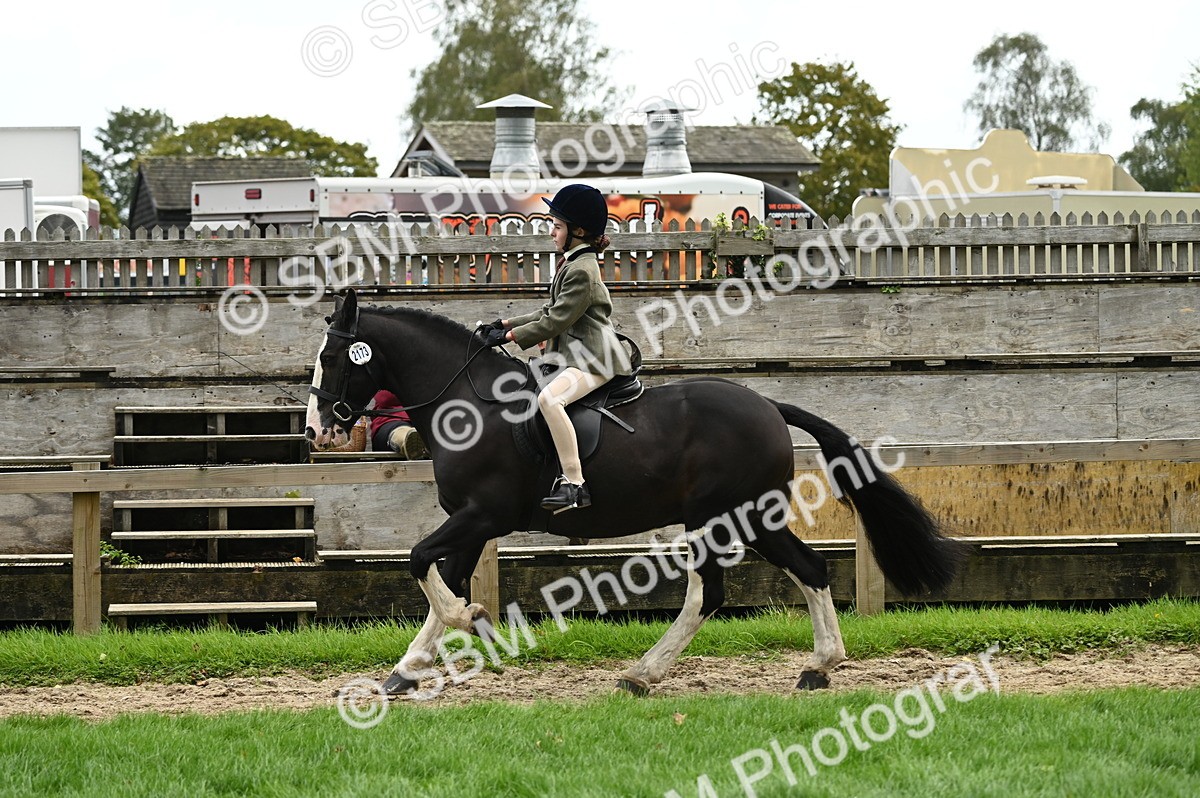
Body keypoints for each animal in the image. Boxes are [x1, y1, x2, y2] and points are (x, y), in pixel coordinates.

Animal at [306, 289, 963, 696]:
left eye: (335, 357)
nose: (315, 431)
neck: (471, 403)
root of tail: (769, 407)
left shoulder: (482, 515)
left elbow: (424, 565)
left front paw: (475, 623)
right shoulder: (470, 522)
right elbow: (443, 579)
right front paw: (406, 672)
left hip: (726, 518)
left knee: (728, 588)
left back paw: (647, 674)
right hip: (744, 520)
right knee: (799, 571)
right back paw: (815, 668)